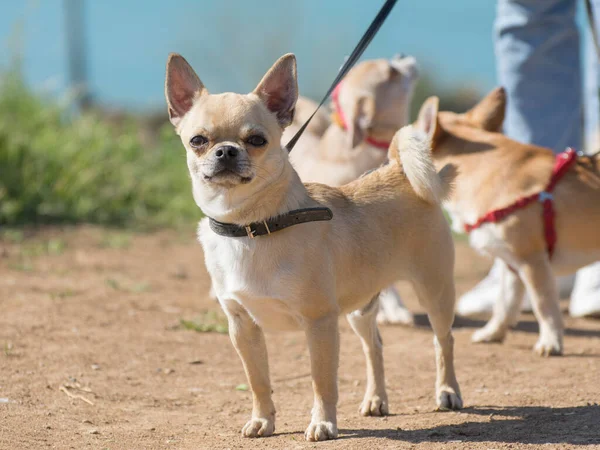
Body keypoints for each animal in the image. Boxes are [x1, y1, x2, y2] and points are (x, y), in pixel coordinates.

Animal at [166, 51, 462, 440]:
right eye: (198, 140)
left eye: (257, 140)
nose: (226, 151)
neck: (250, 226)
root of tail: (398, 170)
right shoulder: (242, 327)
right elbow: (258, 381)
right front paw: (263, 419)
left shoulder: (319, 323)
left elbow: (321, 381)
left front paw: (323, 422)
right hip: (361, 308)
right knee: (375, 346)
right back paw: (376, 399)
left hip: (434, 292)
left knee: (443, 341)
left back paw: (448, 392)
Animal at [414, 87, 600, 356]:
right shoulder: (511, 265)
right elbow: (505, 304)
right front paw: (493, 333)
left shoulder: (532, 262)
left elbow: (543, 306)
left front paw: (550, 342)